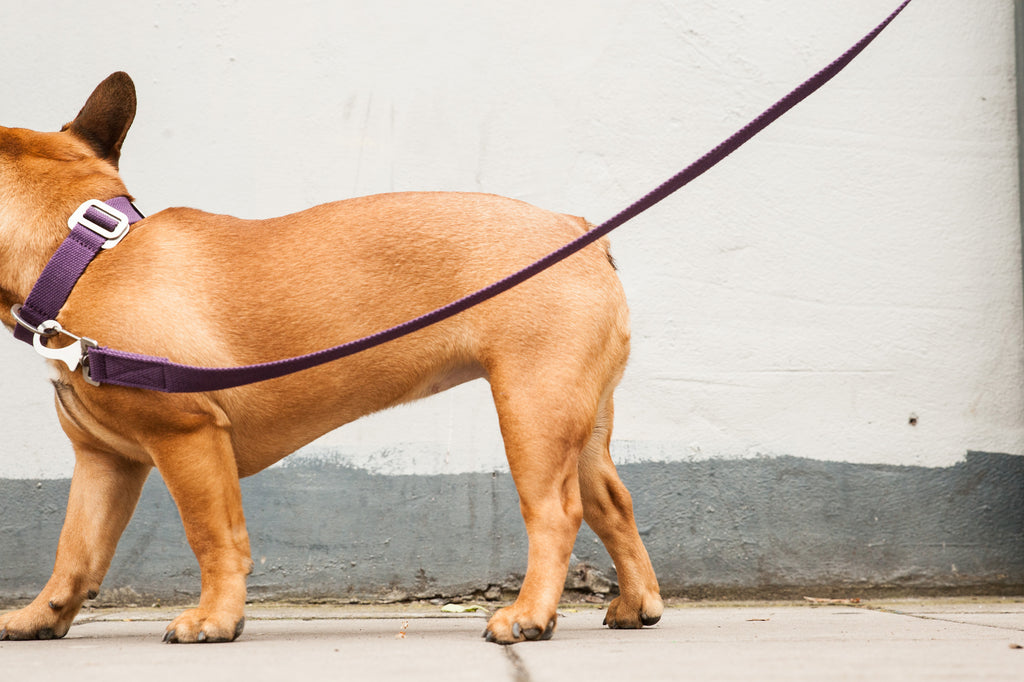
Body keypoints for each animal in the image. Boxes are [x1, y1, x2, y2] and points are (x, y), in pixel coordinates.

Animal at [0, 73, 663, 643]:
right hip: (577, 416)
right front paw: (41, 616)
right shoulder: (103, 462)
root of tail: (578, 232)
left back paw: (528, 616)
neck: (77, 257)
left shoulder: (188, 436)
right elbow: (76, 550)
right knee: (610, 503)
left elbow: (213, 536)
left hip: (531, 408)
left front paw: (215, 619)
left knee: (555, 512)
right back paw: (637, 604)